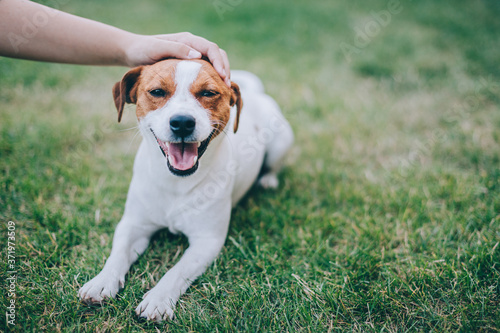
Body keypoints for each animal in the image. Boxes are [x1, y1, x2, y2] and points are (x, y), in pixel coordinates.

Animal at [78, 58, 292, 320]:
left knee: (274, 164)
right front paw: (101, 281)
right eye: (157, 92)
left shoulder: (207, 241)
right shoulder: (133, 225)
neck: (176, 182)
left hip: (281, 142)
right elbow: (117, 254)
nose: (182, 122)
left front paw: (158, 298)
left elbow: (176, 271)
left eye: (208, 93)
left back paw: (268, 180)